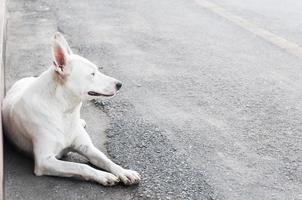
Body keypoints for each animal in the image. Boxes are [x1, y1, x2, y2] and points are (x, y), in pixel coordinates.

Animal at [1, 32, 141, 186]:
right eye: (92, 74)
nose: (119, 84)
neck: (65, 110)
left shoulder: (87, 147)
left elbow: (107, 160)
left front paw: (124, 172)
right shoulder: (45, 161)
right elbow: (81, 166)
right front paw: (104, 176)